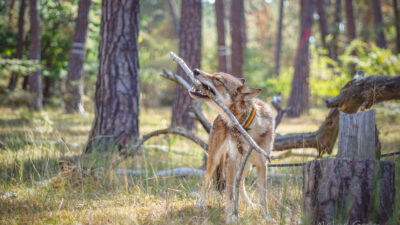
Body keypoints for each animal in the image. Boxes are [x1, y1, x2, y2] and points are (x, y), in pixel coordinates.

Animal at [188, 69, 276, 223]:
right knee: (207, 181)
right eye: (214, 74)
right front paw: (230, 217)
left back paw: (249, 203)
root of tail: (218, 117)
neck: (247, 126)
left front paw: (266, 217)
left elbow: (263, 197)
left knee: (240, 183)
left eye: (218, 79)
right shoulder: (233, 161)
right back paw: (200, 203)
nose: (196, 70)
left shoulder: (262, 164)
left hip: (247, 166)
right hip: (215, 159)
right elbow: (229, 194)